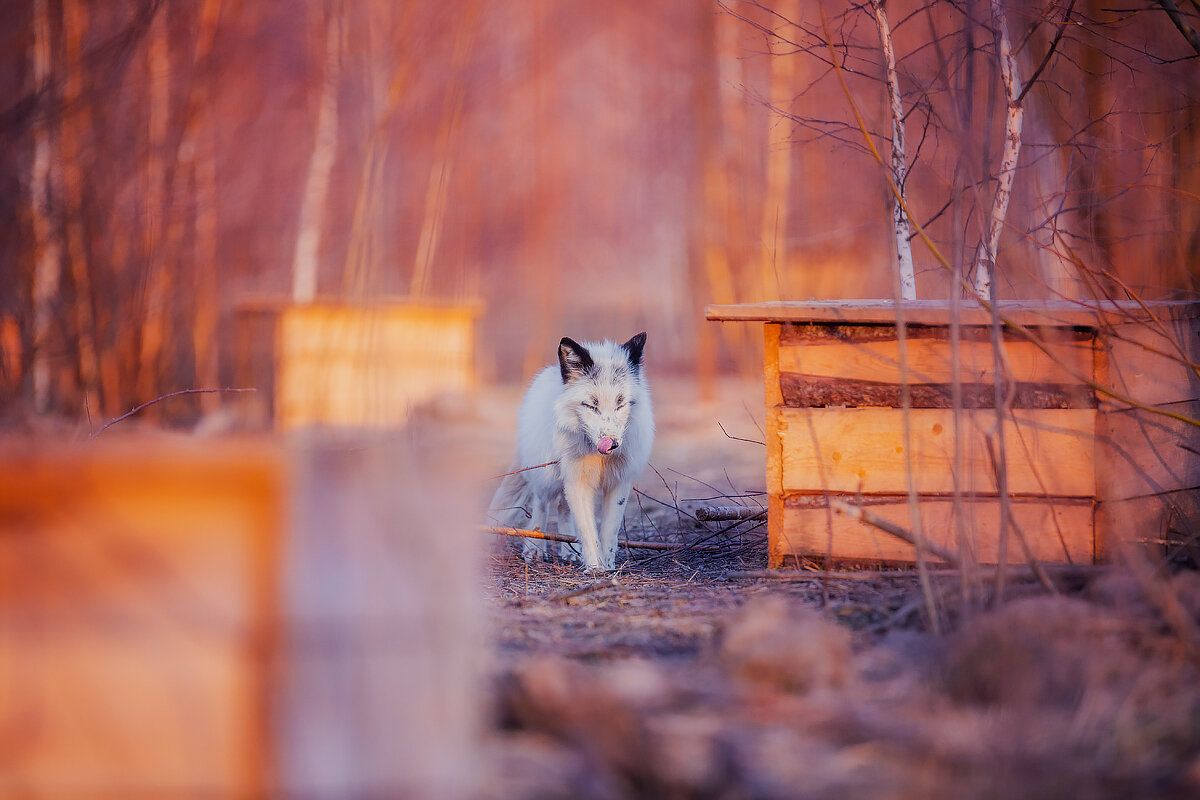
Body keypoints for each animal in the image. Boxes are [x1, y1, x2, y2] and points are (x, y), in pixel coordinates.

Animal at [489, 335, 657, 573]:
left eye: (620, 404)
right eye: (591, 406)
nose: (612, 444)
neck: (598, 457)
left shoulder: (619, 482)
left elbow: (609, 531)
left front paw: (608, 566)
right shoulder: (577, 482)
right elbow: (588, 531)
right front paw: (595, 569)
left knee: (563, 509)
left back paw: (570, 551)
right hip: (547, 477)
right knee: (541, 506)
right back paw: (534, 549)